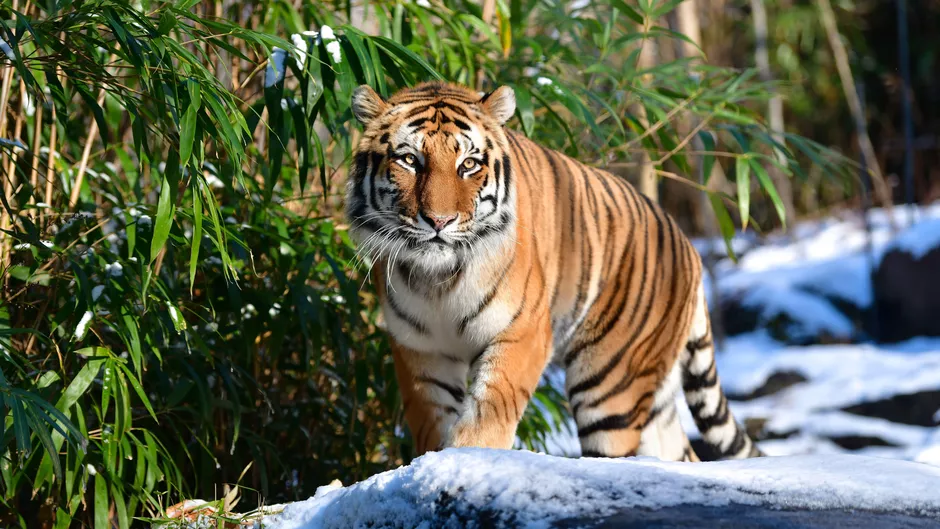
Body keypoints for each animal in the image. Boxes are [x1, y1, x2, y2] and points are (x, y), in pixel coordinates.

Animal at [345, 80, 761, 462]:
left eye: (469, 165)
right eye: (410, 160)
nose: (439, 221)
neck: (438, 280)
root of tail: (688, 246)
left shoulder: (523, 332)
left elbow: (488, 413)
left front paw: (468, 458)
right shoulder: (420, 350)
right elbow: (432, 421)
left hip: (610, 385)